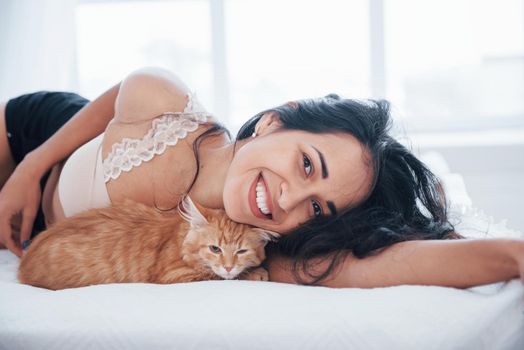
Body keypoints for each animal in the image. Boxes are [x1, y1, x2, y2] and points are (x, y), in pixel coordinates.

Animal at [16, 197, 278, 290]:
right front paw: (256, 273)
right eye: (215, 248)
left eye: (241, 251)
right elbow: (215, 275)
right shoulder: (174, 276)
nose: (228, 266)